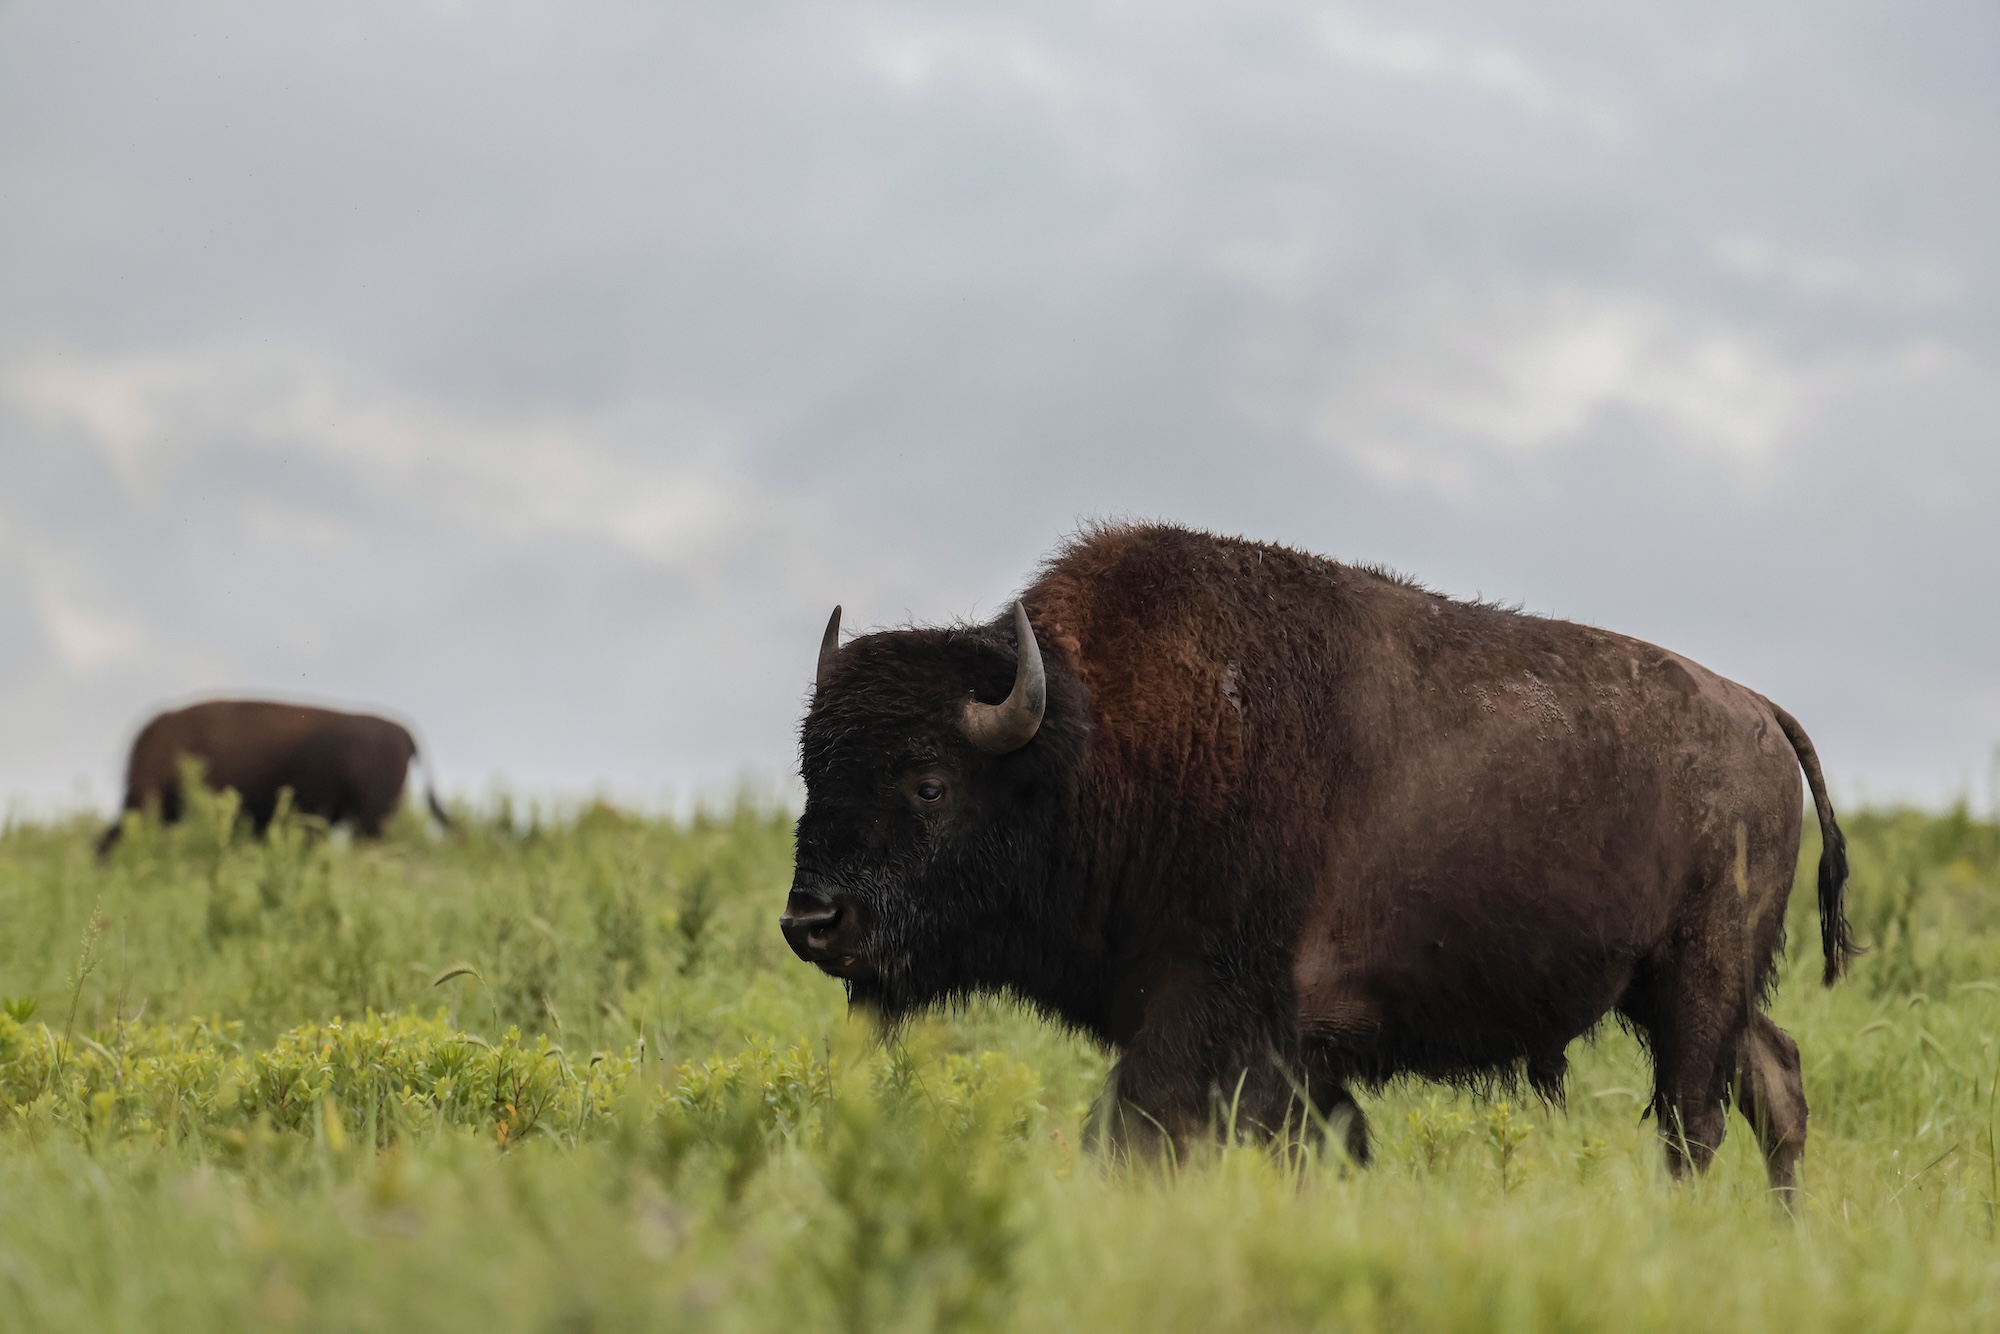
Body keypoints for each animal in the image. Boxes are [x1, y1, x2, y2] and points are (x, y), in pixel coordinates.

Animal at [783, 523, 1853, 1197]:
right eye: (810, 771)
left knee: (1695, 1119)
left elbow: (1137, 1134)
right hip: (1674, 987)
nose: (811, 923)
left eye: (929, 784)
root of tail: (1758, 710)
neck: (1092, 746)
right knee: (1774, 1081)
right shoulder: (1289, 1054)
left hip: (1698, 975)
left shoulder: (1210, 1020)